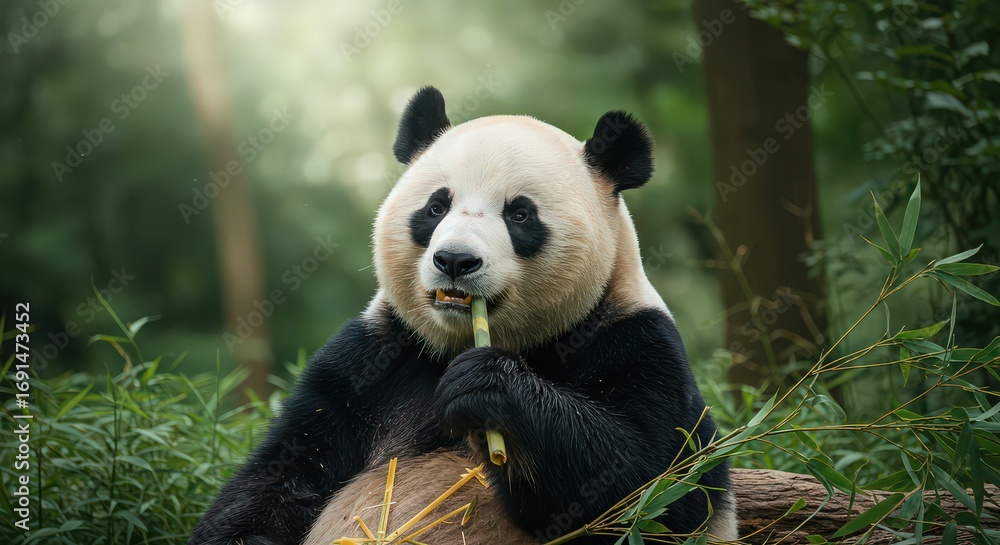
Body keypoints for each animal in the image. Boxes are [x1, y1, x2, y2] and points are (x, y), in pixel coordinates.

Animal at [190, 86, 738, 545]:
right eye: (436, 207)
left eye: (519, 214)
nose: (455, 260)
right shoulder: (375, 357)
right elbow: (283, 474)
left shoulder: (637, 342)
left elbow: (655, 488)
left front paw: (489, 391)